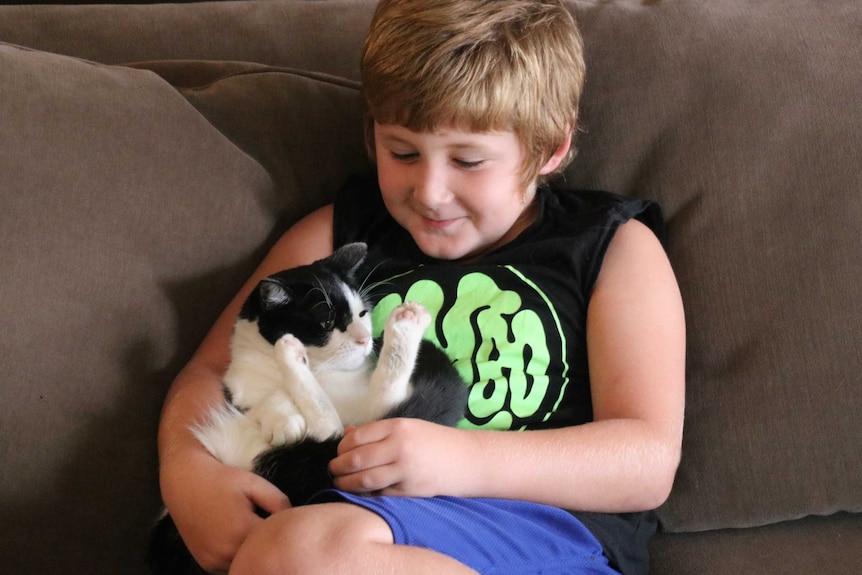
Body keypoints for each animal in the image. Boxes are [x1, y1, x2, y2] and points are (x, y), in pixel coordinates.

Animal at [149, 243, 472, 575]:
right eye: (327, 322)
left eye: (362, 313)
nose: (365, 339)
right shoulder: (243, 387)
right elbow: (269, 399)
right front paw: (285, 418)